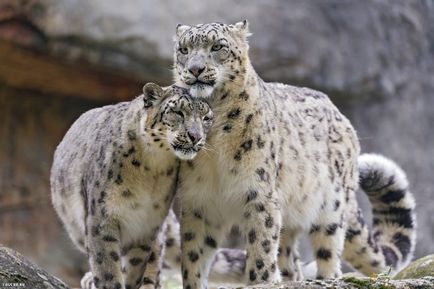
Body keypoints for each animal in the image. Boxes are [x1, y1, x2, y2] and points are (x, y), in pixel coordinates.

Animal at [50, 83, 214, 288]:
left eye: (206, 118)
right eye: (178, 112)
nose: (196, 137)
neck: (152, 166)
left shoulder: (147, 223)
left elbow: (135, 266)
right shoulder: (103, 216)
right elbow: (107, 267)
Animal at [171, 20, 416, 288]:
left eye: (217, 46)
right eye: (184, 49)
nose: (195, 69)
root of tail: (341, 117)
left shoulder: (260, 196)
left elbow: (261, 249)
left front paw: (261, 280)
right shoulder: (200, 201)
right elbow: (194, 256)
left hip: (331, 206)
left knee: (328, 252)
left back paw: (326, 277)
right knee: (289, 257)